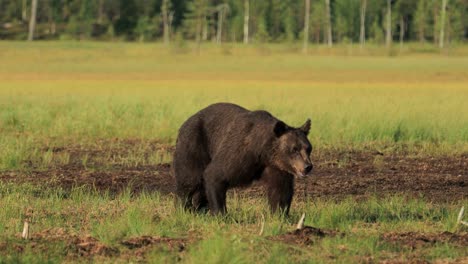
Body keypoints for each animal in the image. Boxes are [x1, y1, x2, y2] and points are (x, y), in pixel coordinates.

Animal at [172, 102, 310, 216]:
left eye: (308, 148)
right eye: (294, 149)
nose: (308, 166)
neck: (262, 150)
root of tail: (186, 121)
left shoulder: (276, 166)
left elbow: (280, 190)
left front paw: (280, 215)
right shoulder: (240, 152)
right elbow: (216, 174)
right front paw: (220, 214)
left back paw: (199, 209)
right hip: (194, 143)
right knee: (189, 178)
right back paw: (183, 208)